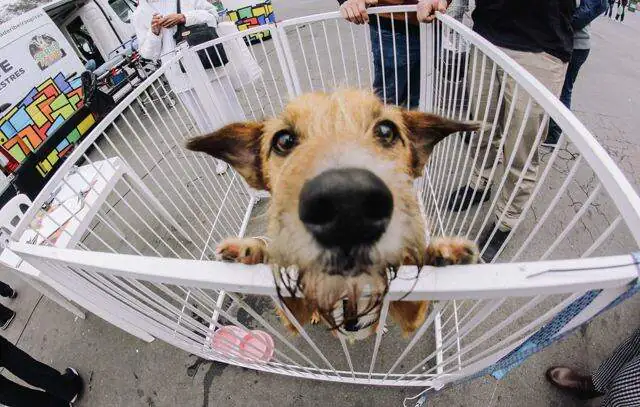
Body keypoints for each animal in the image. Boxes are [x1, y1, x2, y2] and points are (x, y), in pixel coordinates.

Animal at [185, 89, 480, 342]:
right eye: (284, 140)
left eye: (386, 131)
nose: (347, 205)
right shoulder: (295, 314)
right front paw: (250, 252)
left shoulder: (407, 314)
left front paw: (443, 253)